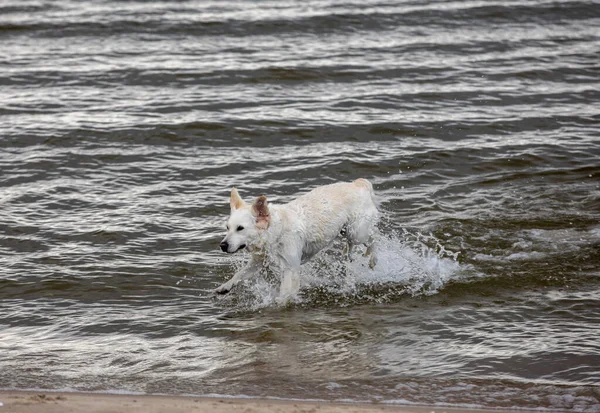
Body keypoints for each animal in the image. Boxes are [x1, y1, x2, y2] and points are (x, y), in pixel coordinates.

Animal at [213, 177, 378, 296]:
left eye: (240, 228)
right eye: (227, 228)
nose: (222, 245)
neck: (275, 233)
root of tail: (358, 184)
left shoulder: (290, 267)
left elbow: (285, 292)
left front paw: (279, 303)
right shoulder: (259, 261)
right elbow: (240, 274)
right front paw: (225, 286)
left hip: (357, 232)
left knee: (372, 239)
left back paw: (373, 259)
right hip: (347, 231)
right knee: (352, 244)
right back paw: (347, 253)